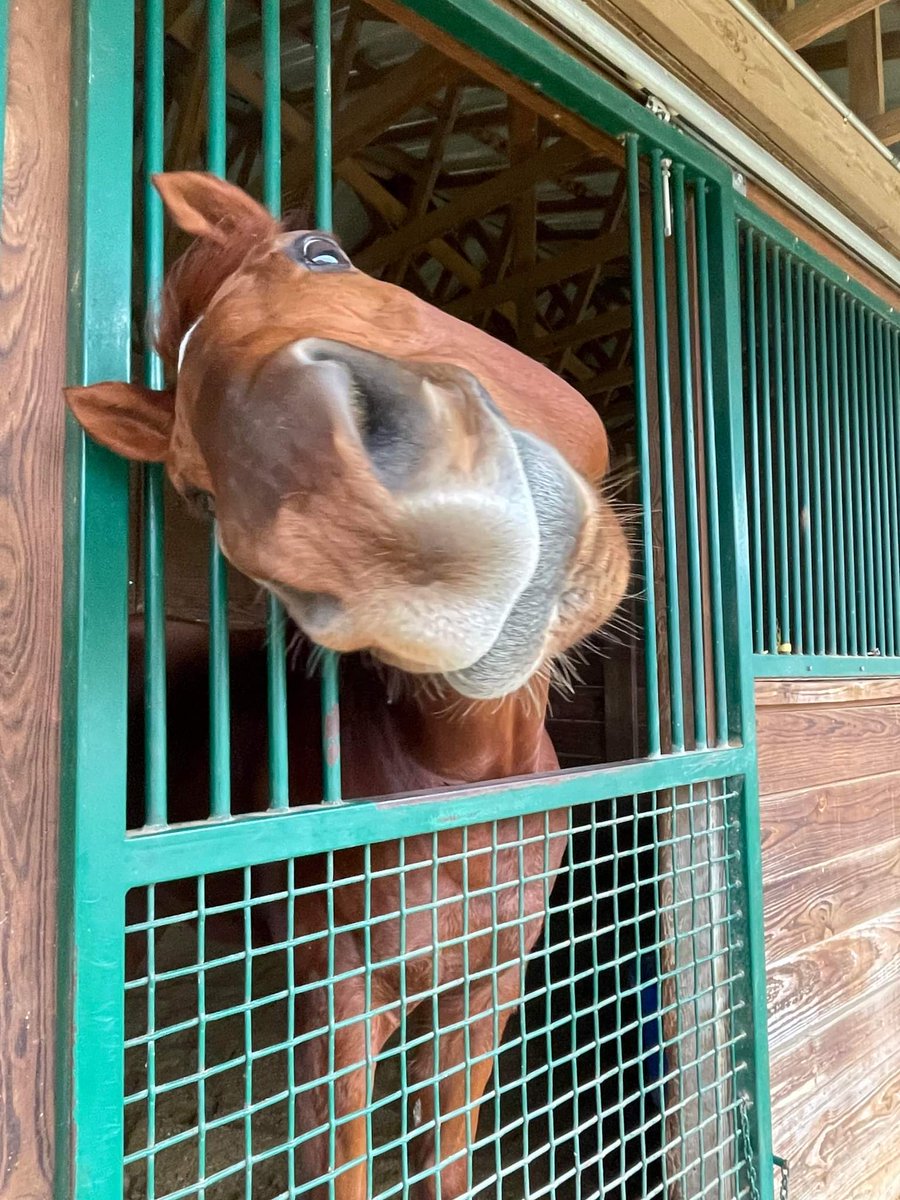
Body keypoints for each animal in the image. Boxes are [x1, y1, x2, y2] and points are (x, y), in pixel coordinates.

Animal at [66, 171, 630, 1199]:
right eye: (197, 489)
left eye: (324, 254)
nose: (366, 525)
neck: (460, 777)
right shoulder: (341, 1002)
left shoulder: (485, 989)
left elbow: (445, 1162)